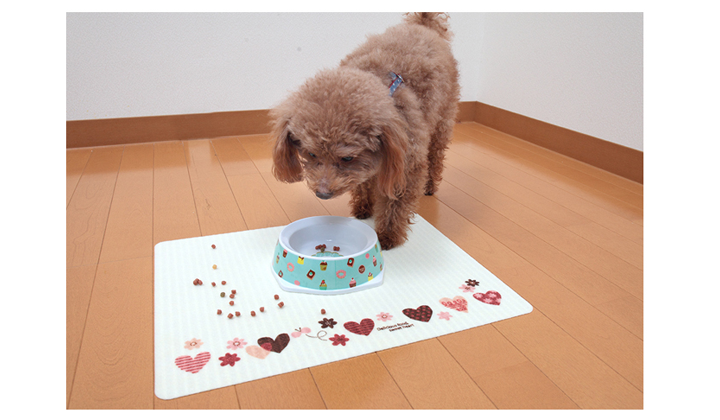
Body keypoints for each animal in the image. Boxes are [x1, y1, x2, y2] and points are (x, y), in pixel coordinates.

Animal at [270, 12, 460, 250]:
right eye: (312, 154)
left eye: (347, 158)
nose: (322, 194)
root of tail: (423, 25)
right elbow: (363, 182)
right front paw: (363, 207)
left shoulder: (405, 163)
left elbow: (395, 203)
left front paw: (387, 235)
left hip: (443, 120)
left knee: (436, 156)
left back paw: (430, 186)